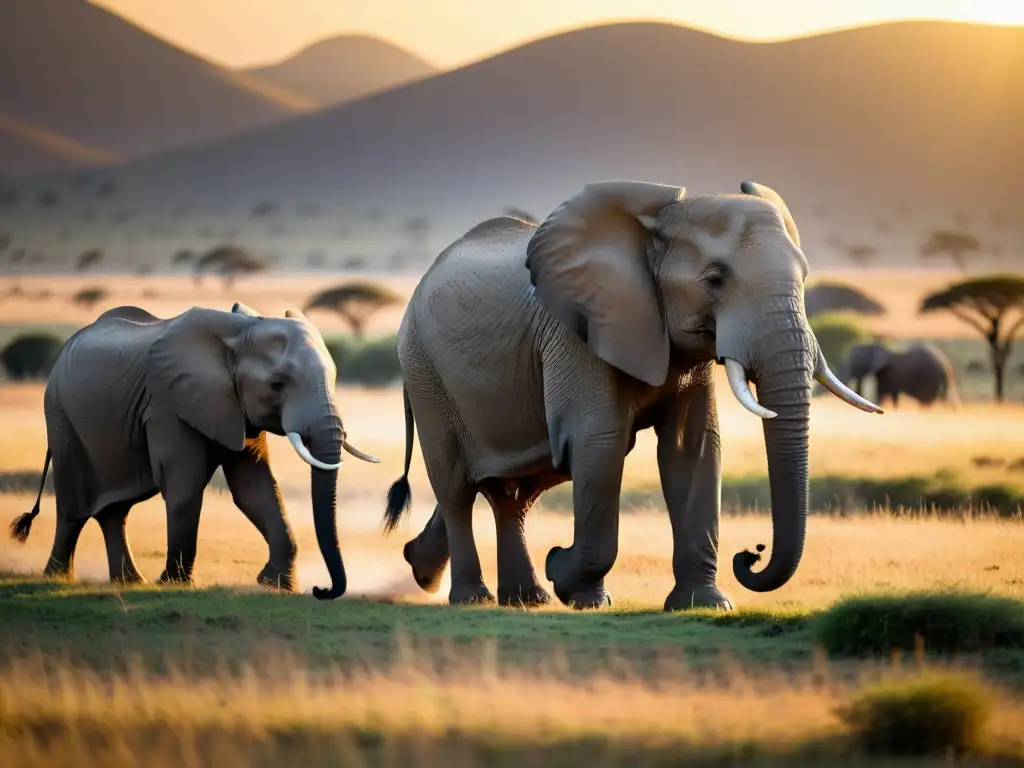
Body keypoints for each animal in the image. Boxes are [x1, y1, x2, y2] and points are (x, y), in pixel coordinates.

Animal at [9, 303, 380, 598]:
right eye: (277, 384)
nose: (322, 590)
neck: (240, 331)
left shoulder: (235, 407)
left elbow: (255, 488)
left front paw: (277, 586)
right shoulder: (167, 405)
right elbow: (185, 484)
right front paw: (173, 585)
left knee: (114, 511)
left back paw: (130, 583)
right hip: (60, 416)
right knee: (73, 508)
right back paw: (57, 579)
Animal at [382, 180, 880, 614]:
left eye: (805, 276)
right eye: (715, 279)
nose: (751, 554)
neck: (653, 227)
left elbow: (693, 447)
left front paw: (704, 605)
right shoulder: (578, 331)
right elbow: (599, 443)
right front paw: (573, 582)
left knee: (513, 490)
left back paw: (505, 592)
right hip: (425, 371)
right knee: (457, 487)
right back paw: (472, 597)